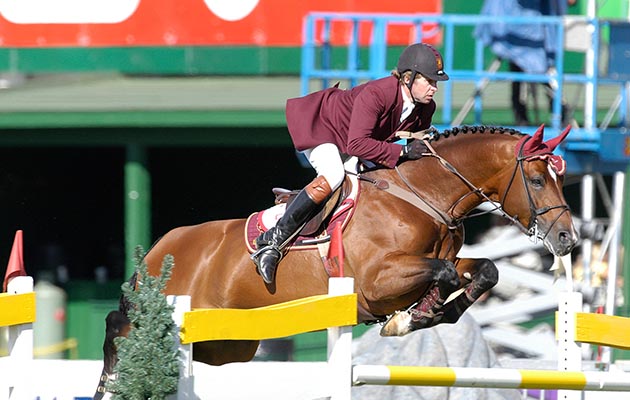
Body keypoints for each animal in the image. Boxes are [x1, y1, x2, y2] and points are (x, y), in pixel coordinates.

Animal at [92, 124, 576, 396]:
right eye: (537, 179)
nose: (567, 238)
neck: (424, 198)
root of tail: (161, 246)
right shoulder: (377, 282)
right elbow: (441, 275)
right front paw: (411, 317)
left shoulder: (435, 264)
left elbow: (483, 271)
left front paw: (424, 315)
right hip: (169, 310)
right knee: (119, 325)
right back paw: (109, 382)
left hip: (230, 342)